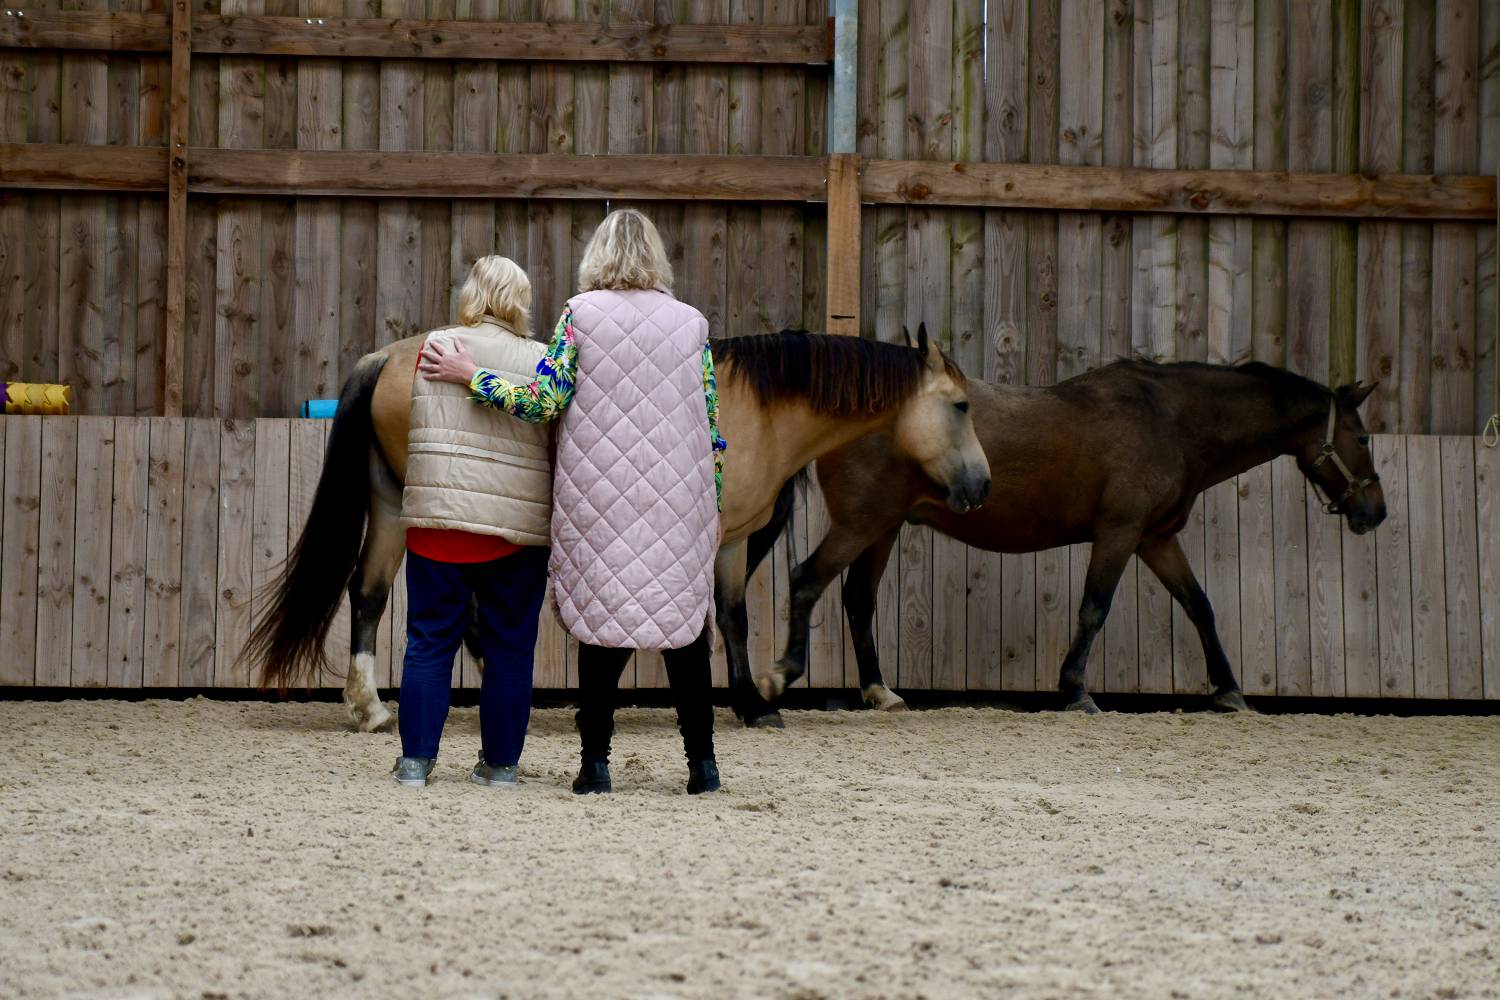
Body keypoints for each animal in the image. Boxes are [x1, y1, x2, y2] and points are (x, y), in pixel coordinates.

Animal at [243, 328, 996, 728]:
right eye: (961, 406)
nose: (981, 485)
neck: (751, 407)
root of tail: (393, 356)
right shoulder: (712, 538)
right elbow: (706, 616)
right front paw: (754, 699)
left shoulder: (728, 541)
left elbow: (725, 615)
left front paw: (750, 700)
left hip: (395, 505)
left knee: (371, 595)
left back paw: (374, 706)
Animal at [744, 359, 1386, 719]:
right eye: (1361, 437)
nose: (1375, 513)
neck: (1171, 420)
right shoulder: (1119, 532)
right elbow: (1094, 609)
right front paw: (1076, 691)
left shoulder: (1155, 539)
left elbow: (1198, 606)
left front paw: (1229, 691)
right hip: (863, 522)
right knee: (807, 580)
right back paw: (779, 678)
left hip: (883, 526)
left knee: (857, 599)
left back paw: (881, 693)